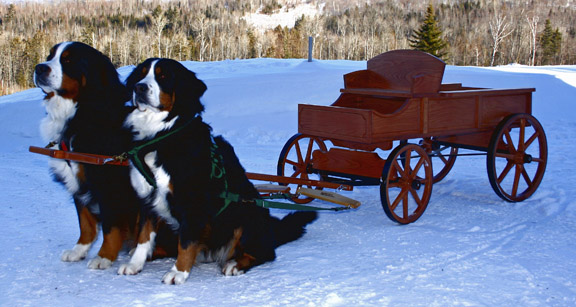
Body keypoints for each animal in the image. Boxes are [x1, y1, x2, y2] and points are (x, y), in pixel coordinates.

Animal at [33, 41, 145, 270]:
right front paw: (79, 250)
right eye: (50, 56)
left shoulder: (108, 183)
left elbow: (111, 226)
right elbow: (85, 223)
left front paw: (104, 256)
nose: (39, 68)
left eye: (68, 59)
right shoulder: (78, 181)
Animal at [116, 58, 316, 286]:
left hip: (247, 214)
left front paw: (178, 272)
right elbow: (144, 235)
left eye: (163, 76)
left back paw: (234, 264)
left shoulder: (193, 203)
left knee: (265, 253)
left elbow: (186, 243)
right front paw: (134, 264)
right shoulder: (147, 199)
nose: (139, 88)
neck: (161, 135)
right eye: (140, 74)